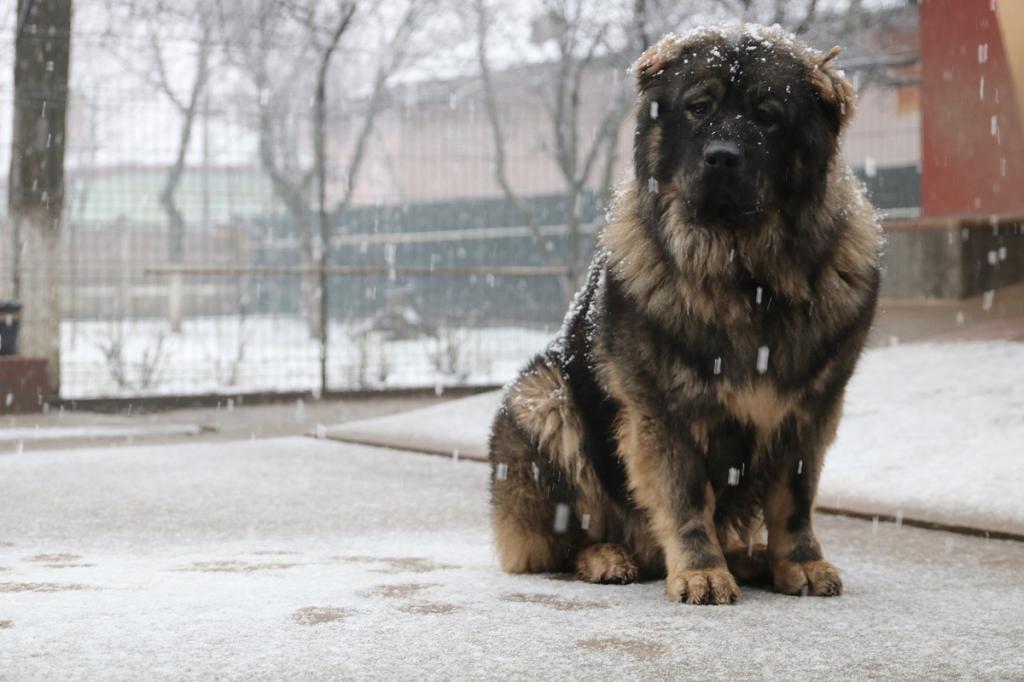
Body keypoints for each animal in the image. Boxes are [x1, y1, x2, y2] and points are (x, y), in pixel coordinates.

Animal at [487, 23, 880, 602]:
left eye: (767, 115)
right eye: (698, 107)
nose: (722, 156)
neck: (747, 277)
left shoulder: (811, 409)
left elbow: (794, 500)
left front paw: (800, 563)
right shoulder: (662, 410)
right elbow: (687, 497)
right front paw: (701, 572)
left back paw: (749, 558)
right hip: (542, 402)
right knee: (567, 541)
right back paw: (610, 557)